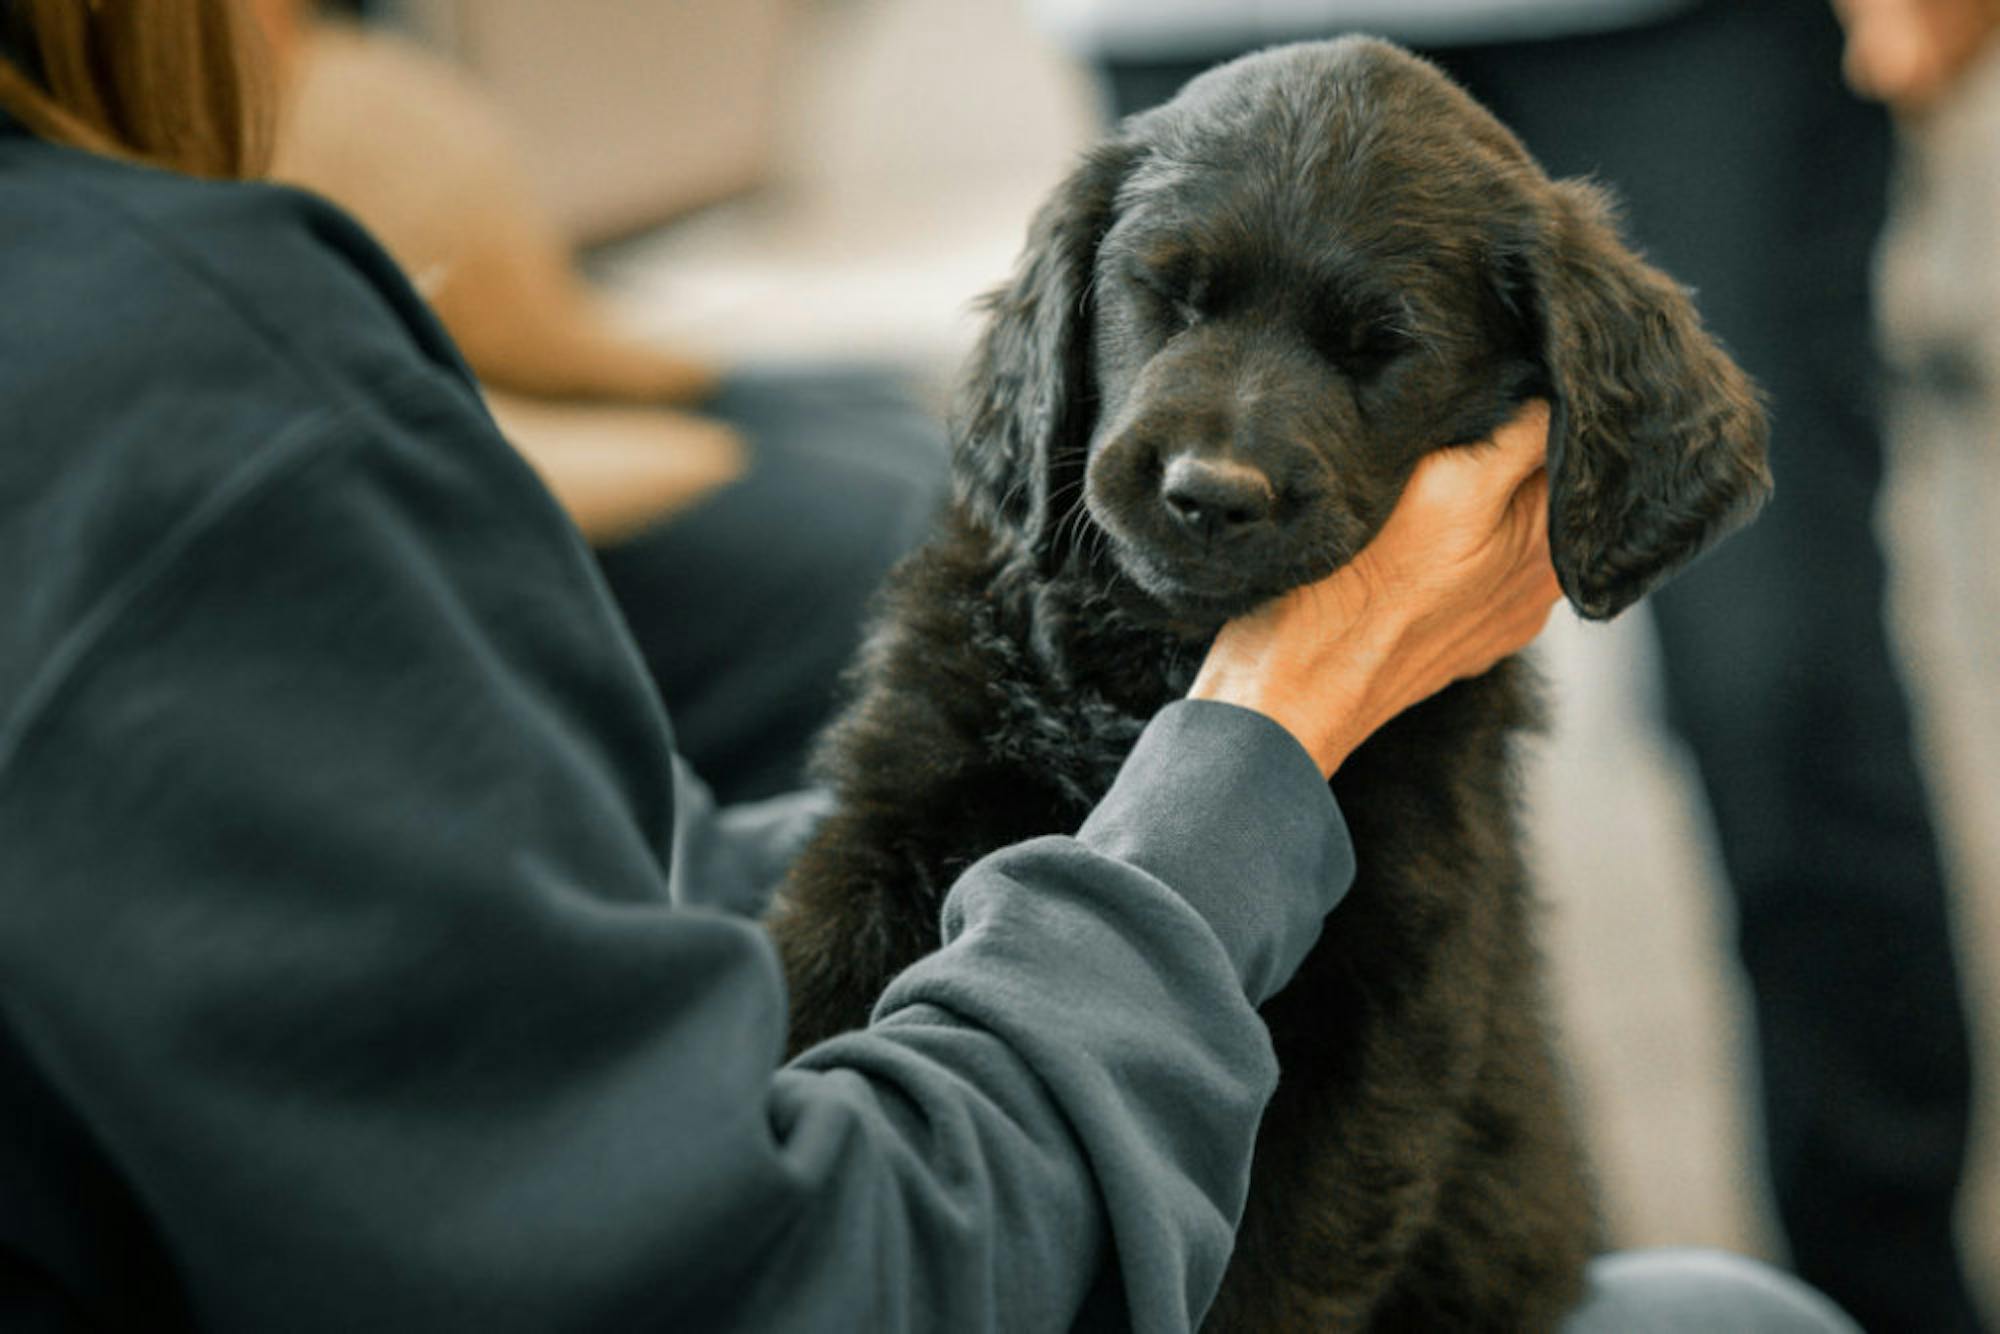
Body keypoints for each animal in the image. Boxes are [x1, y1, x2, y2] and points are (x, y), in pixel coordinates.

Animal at [764, 36, 1768, 1328]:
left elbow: (1270, 1267)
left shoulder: (1376, 1011)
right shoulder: (882, 835)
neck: (1150, 677)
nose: (1208, 491)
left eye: (1378, 346)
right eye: (1168, 297)